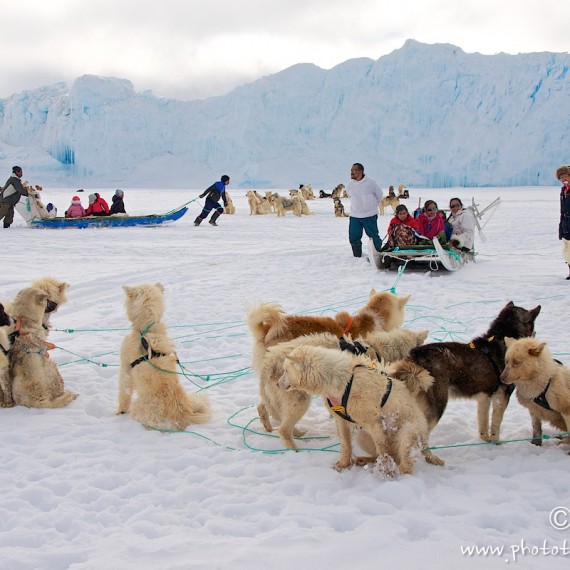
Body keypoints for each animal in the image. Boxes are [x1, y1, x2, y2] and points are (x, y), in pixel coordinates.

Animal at [115, 282, 211, 428]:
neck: (148, 329)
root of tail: (183, 415)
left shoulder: (125, 369)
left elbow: (123, 393)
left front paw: (120, 411)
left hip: (139, 407)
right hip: (196, 399)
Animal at [256, 328, 426, 448]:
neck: (377, 349)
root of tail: (267, 363)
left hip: (275, 398)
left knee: (264, 409)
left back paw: (274, 429)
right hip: (299, 401)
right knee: (284, 428)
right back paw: (295, 448)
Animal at [278, 346, 430, 474]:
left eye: (285, 370)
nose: (277, 384)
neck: (342, 381)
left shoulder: (375, 424)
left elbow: (383, 451)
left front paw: (385, 470)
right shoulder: (341, 420)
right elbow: (346, 446)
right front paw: (343, 465)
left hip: (407, 433)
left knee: (404, 464)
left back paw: (397, 470)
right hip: (363, 436)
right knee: (380, 454)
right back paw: (365, 460)